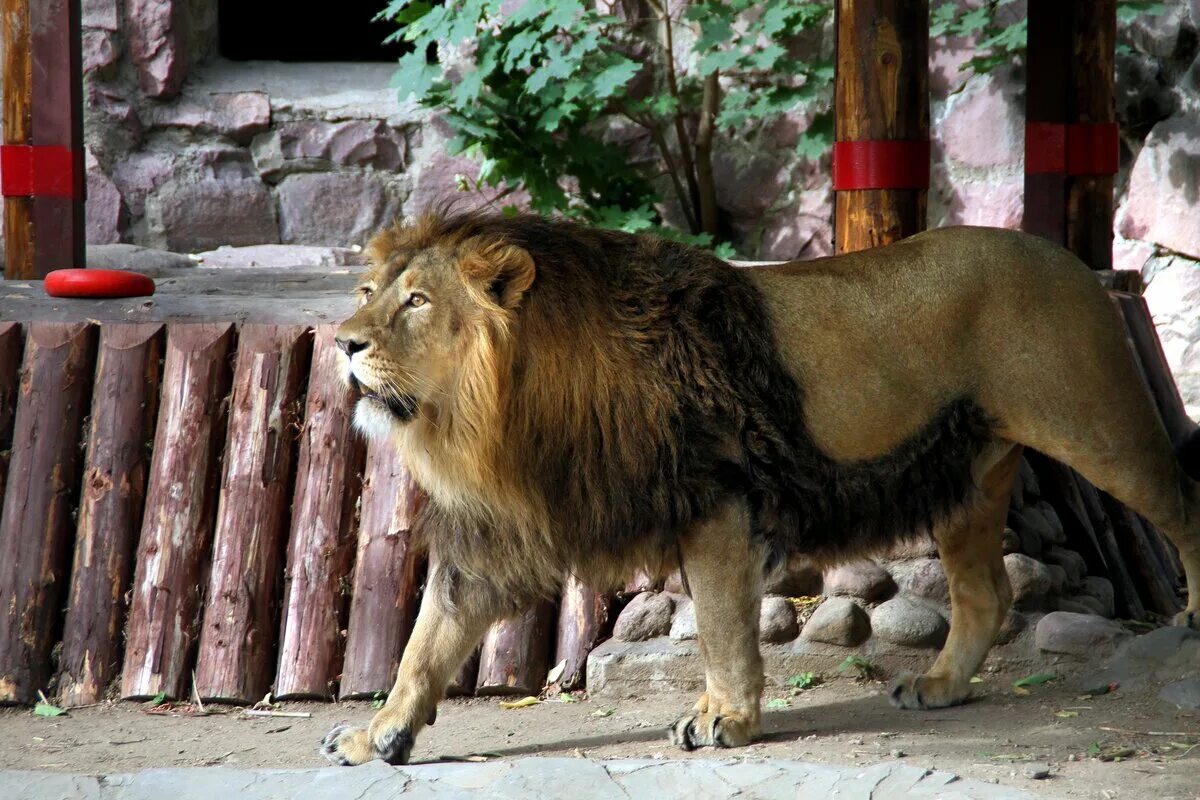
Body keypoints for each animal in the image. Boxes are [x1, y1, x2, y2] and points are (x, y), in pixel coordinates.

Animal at [321, 209, 1200, 767]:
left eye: (418, 300)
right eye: (368, 293)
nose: (342, 343)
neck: (498, 411)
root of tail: (1063, 255)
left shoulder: (717, 503)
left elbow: (719, 625)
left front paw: (725, 719)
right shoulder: (494, 532)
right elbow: (427, 639)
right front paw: (379, 735)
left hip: (1099, 429)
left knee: (1183, 502)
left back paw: (1193, 618)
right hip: (972, 478)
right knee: (987, 592)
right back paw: (941, 686)